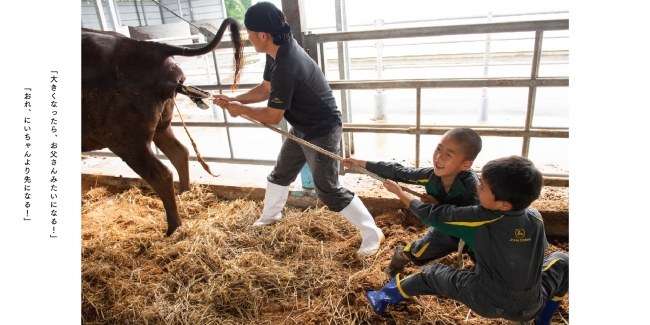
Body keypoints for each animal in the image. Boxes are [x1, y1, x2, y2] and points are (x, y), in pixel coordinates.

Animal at [81, 17, 243, 234]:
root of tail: (149, 48)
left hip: (127, 141)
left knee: (161, 173)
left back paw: (173, 227)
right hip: (161, 126)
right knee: (180, 152)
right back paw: (185, 193)